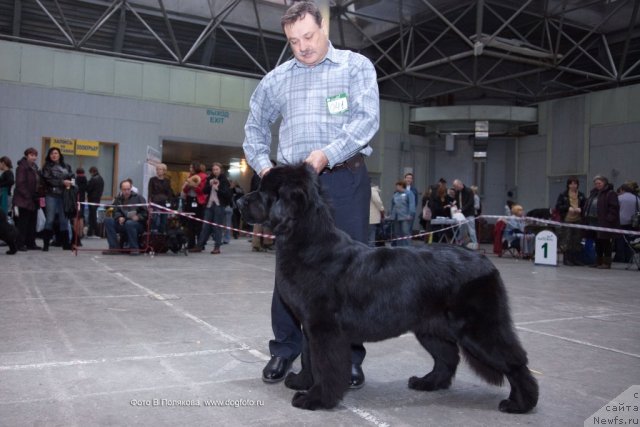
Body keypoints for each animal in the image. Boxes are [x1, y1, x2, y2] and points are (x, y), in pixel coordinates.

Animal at [238, 165, 536, 414]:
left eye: (264, 192)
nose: (240, 201)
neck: (308, 244)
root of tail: (487, 262)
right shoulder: (311, 326)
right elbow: (309, 356)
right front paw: (302, 381)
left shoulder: (324, 327)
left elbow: (325, 364)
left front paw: (316, 398)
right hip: (431, 327)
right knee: (447, 358)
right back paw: (427, 382)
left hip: (479, 329)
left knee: (515, 361)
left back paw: (521, 403)